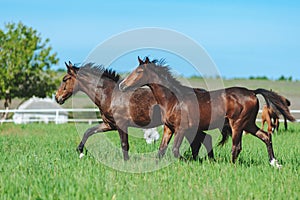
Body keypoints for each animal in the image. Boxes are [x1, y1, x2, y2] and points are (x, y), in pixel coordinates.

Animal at [54, 61, 223, 160]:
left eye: (65, 79)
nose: (57, 98)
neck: (110, 95)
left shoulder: (121, 125)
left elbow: (124, 145)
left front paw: (126, 163)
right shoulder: (109, 125)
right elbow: (88, 131)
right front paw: (80, 151)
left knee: (202, 140)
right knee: (204, 140)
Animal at [118, 56, 294, 167]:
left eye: (139, 72)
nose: (122, 85)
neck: (173, 99)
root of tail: (252, 92)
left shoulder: (182, 128)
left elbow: (175, 151)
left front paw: (190, 162)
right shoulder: (169, 128)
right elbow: (161, 151)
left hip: (237, 124)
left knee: (236, 147)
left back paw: (232, 167)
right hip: (249, 124)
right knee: (266, 136)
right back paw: (275, 163)